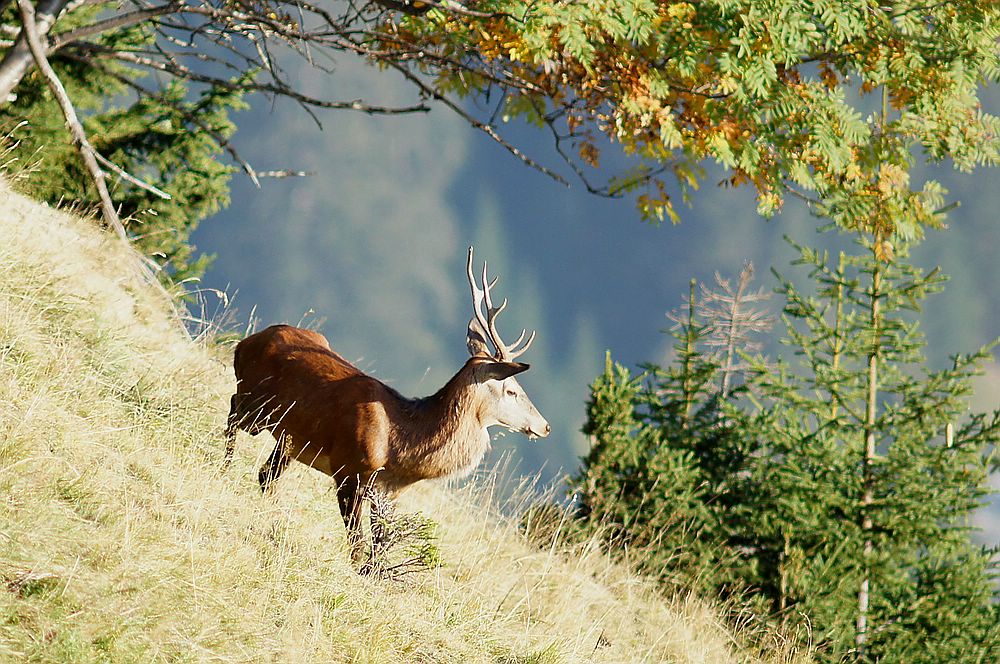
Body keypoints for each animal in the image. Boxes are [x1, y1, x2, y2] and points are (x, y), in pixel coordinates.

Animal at [223, 246, 552, 564]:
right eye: (512, 390)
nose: (545, 426)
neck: (398, 448)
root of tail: (249, 340)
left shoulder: (387, 492)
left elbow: (380, 547)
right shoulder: (349, 470)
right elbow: (358, 546)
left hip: (290, 438)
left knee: (266, 475)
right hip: (254, 403)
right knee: (232, 413)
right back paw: (224, 468)